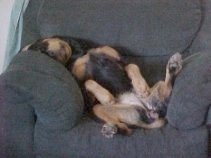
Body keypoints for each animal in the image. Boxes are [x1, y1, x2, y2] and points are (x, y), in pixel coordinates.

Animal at [22, 36, 182, 138]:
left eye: (40, 46)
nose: (50, 55)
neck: (77, 54)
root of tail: (152, 113)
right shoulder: (85, 91)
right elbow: (88, 82)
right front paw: (106, 97)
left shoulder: (118, 60)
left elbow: (132, 65)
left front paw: (141, 87)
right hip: (99, 109)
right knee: (126, 130)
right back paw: (111, 129)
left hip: (156, 90)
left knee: (166, 89)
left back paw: (173, 67)